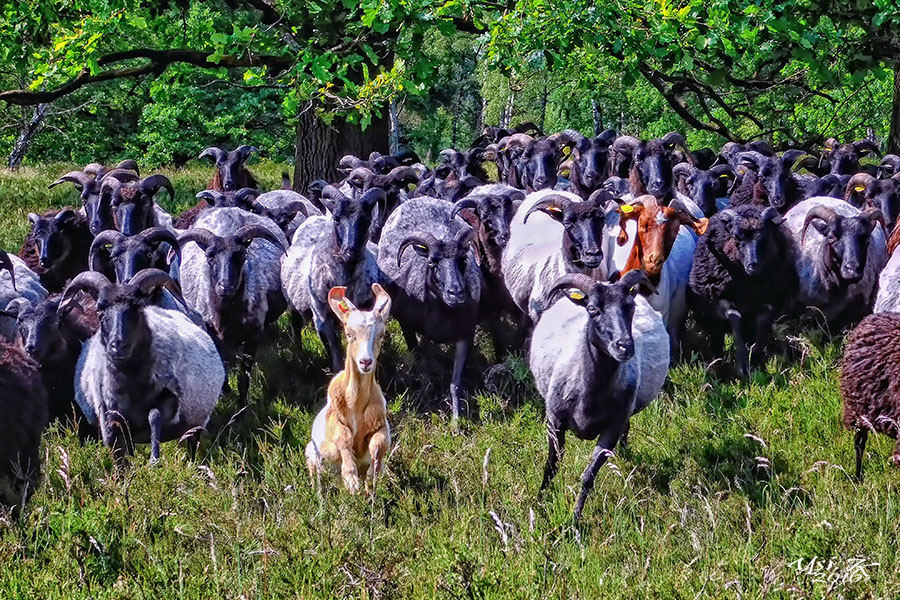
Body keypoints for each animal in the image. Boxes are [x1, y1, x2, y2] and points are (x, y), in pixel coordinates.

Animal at [306, 282, 390, 492]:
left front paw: (371, 476)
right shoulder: (334, 420)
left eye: (381, 334)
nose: (365, 361)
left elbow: (379, 442)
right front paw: (351, 481)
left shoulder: (381, 423)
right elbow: (343, 436)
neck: (356, 405)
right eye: (349, 334)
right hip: (311, 454)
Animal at [532, 270, 672, 520]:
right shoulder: (554, 421)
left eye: (630, 307)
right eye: (592, 309)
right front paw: (540, 501)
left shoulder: (611, 429)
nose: (624, 346)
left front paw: (576, 518)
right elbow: (551, 466)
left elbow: (588, 476)